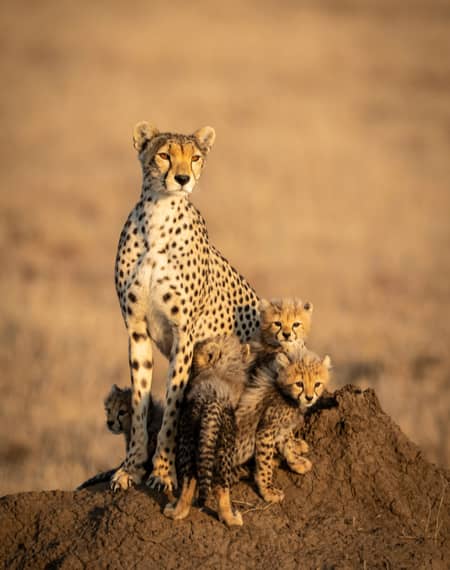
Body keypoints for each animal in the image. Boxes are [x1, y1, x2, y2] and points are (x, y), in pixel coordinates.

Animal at [112, 123, 258, 488]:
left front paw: (163, 471)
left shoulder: (184, 335)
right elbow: (140, 402)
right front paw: (132, 467)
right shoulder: (136, 331)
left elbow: (173, 406)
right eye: (164, 155)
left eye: (195, 158)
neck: (158, 216)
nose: (182, 178)